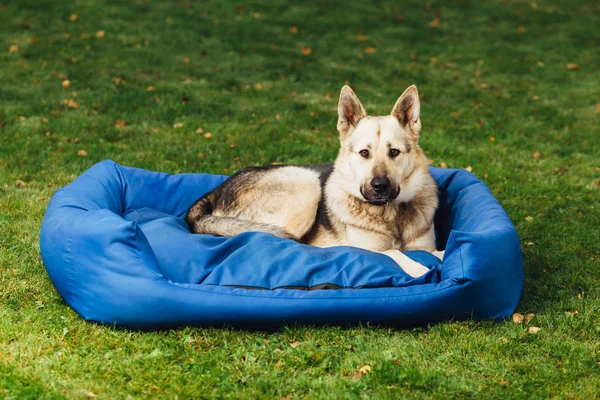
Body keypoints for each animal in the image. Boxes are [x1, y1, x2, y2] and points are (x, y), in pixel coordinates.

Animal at [185, 84, 442, 278]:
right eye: (364, 153)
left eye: (394, 152)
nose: (379, 186)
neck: (390, 215)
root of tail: (214, 192)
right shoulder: (368, 249)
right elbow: (394, 253)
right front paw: (419, 268)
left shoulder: (426, 246)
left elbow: (436, 251)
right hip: (305, 184)